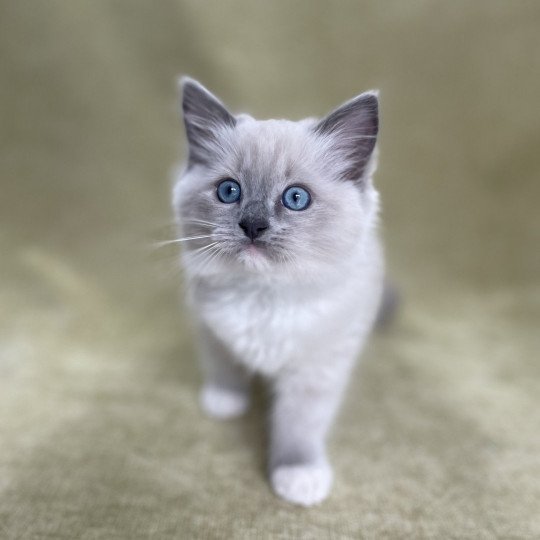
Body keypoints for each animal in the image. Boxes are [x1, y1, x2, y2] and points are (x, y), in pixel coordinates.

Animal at [173, 78, 384, 508]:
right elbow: (222, 362)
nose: (253, 225)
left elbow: (299, 423)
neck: (263, 295)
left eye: (296, 198)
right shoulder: (206, 323)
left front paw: (297, 474)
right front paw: (225, 400)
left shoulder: (318, 366)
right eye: (228, 191)